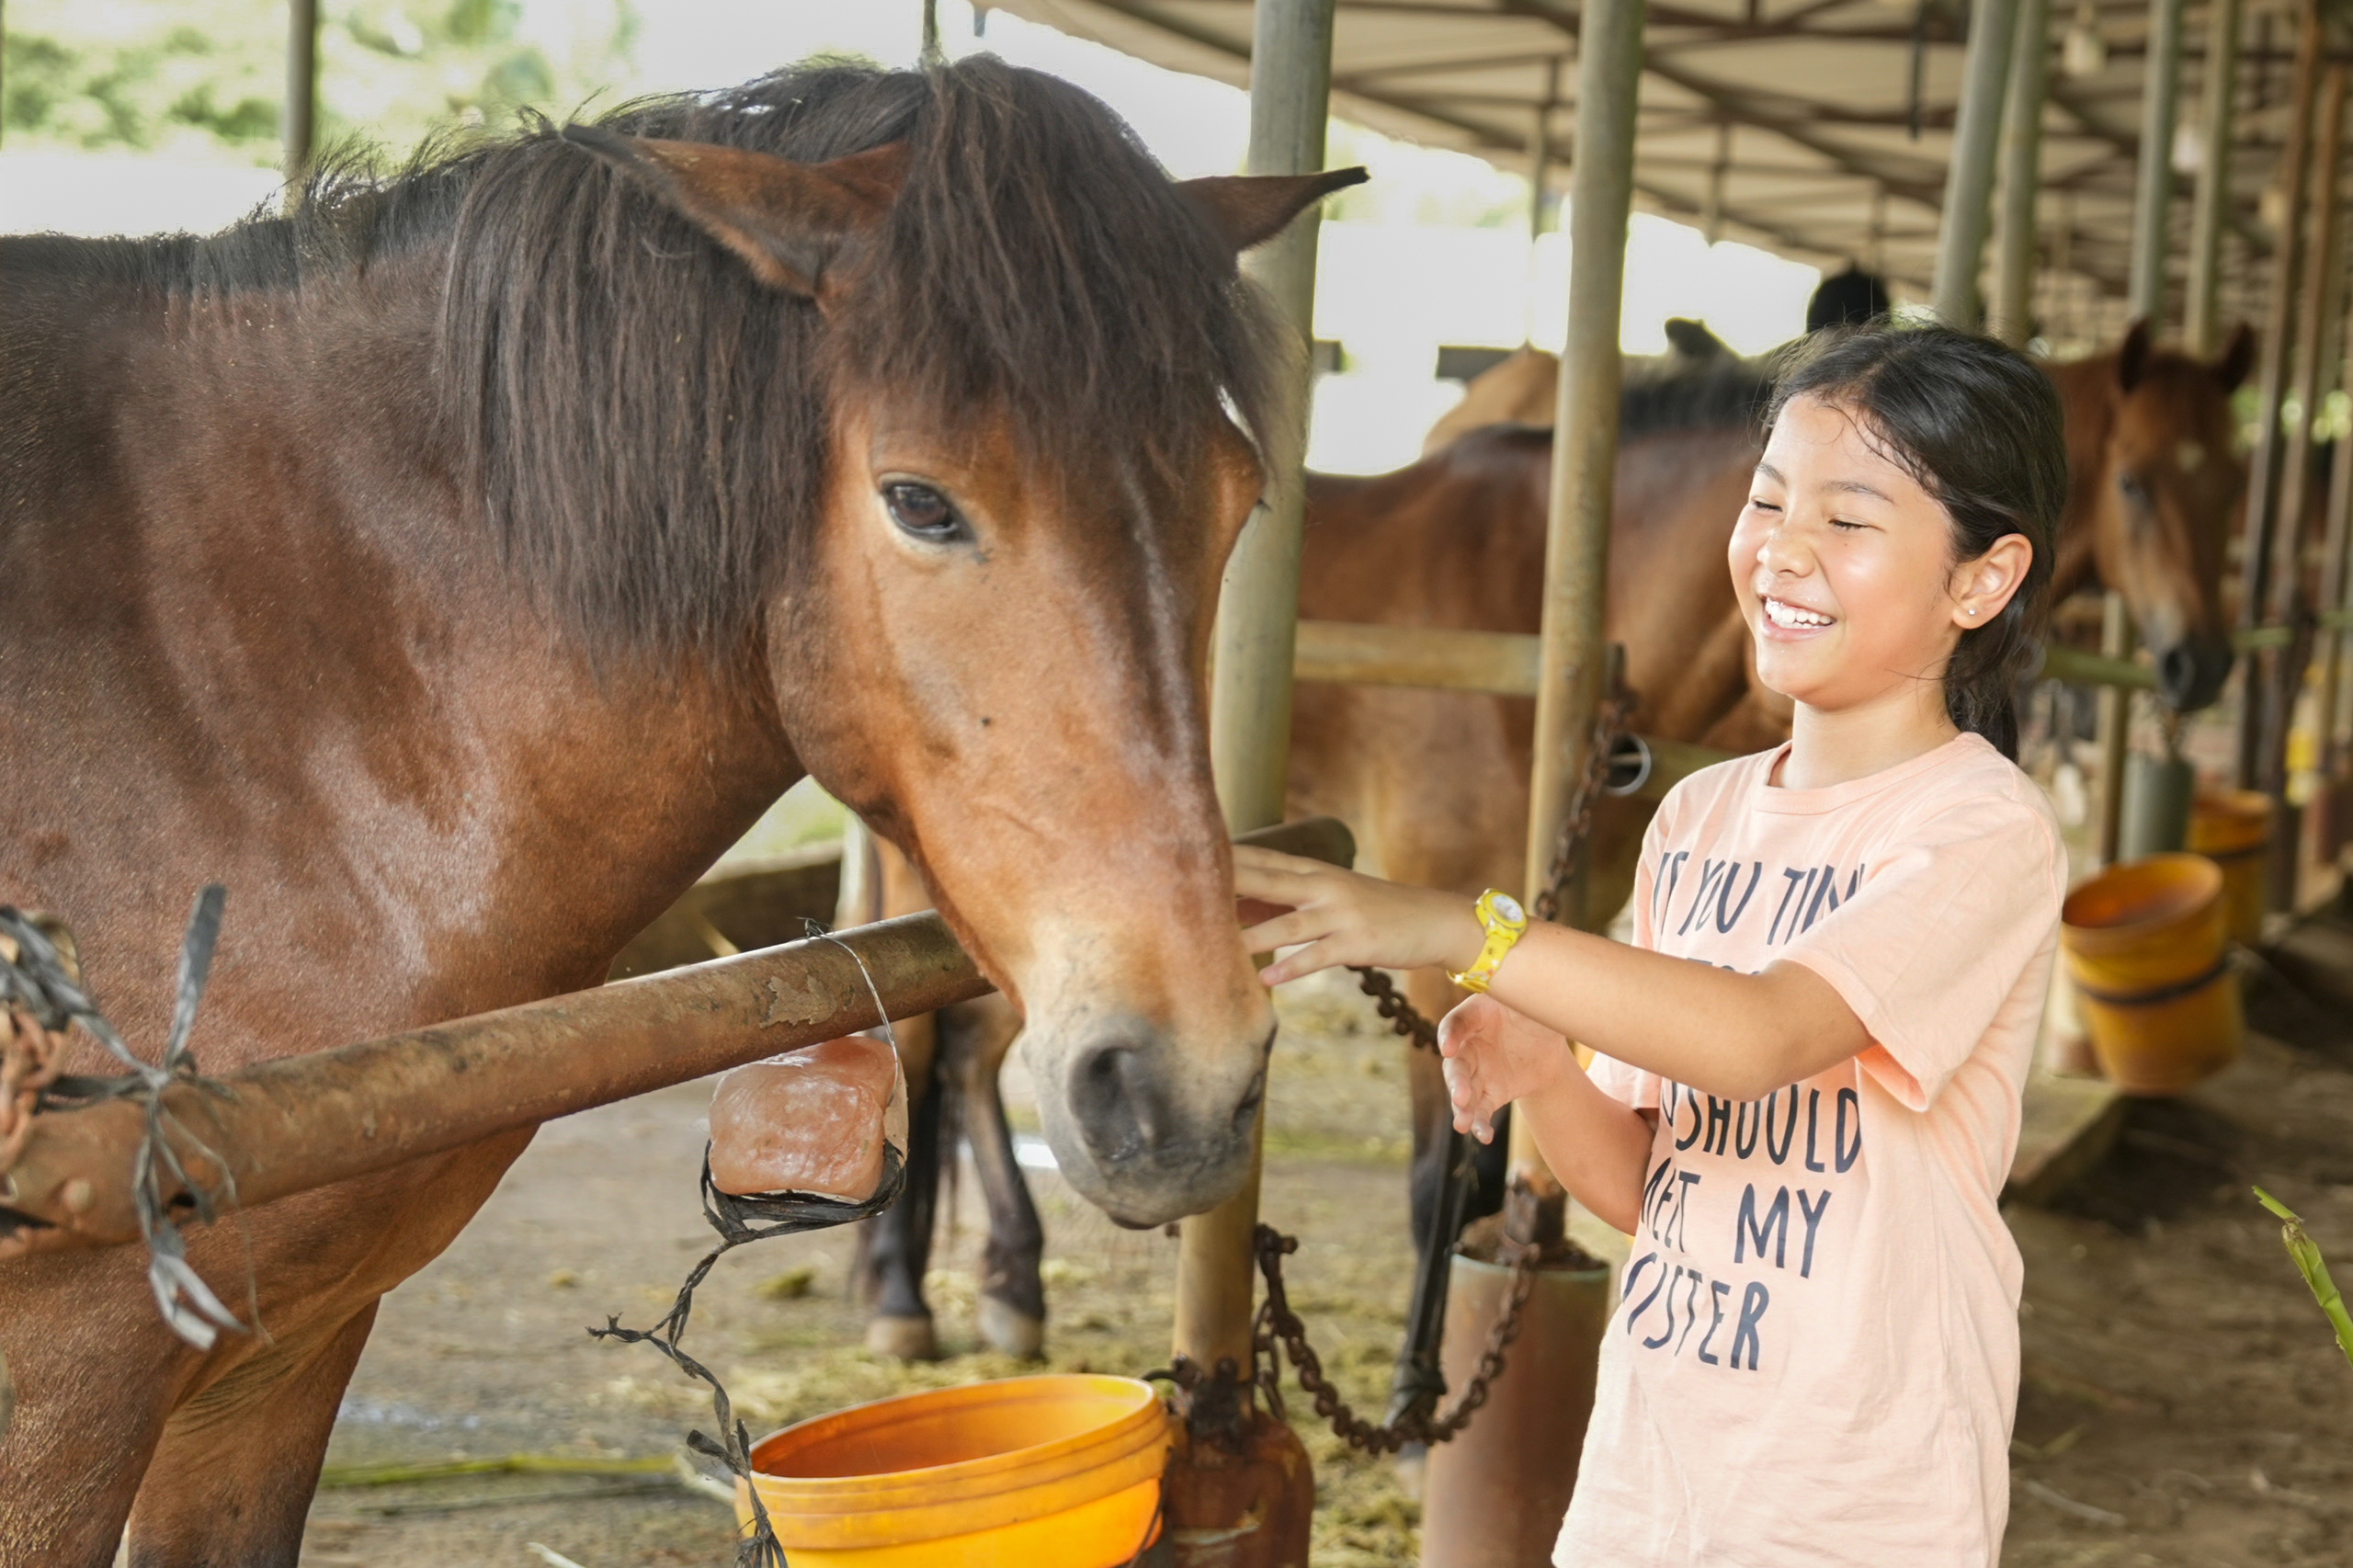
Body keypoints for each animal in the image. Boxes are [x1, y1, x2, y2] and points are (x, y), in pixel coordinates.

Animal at [5, 54, 1364, 1553]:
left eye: (1237, 502)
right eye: (918, 501)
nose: (1188, 1086)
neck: (237, 694)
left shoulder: (275, 1366)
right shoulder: (61, 1402)